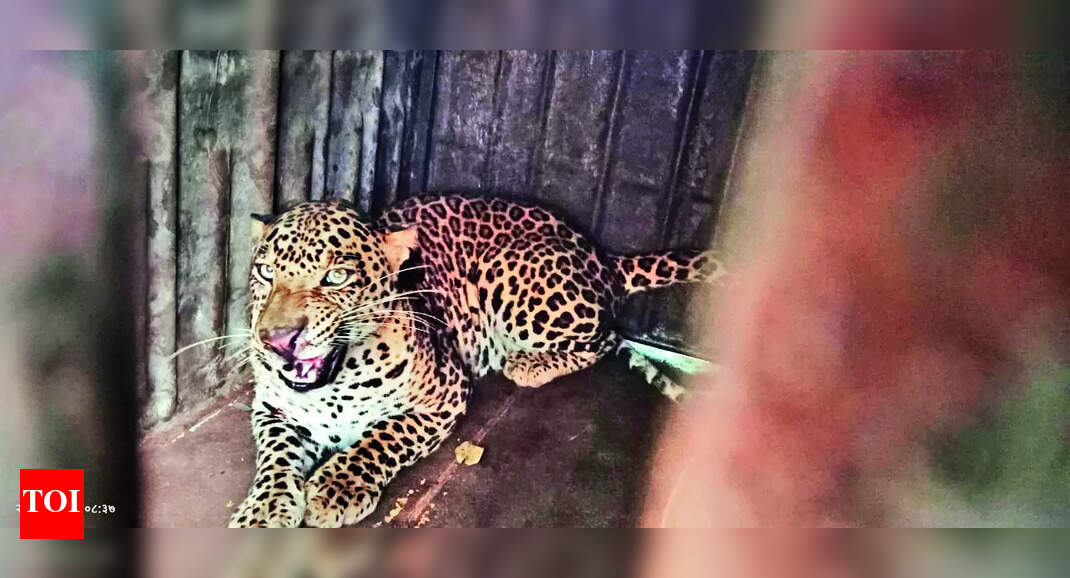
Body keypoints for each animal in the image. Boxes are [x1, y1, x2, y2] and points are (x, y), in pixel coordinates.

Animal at [229, 193, 727, 527]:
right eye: (266, 272)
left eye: (336, 277)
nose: (277, 339)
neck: (333, 386)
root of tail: (600, 255)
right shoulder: (273, 409)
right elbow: (275, 456)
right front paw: (265, 509)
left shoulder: (443, 396)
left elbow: (383, 437)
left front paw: (338, 486)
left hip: (505, 278)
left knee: (609, 339)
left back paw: (528, 364)